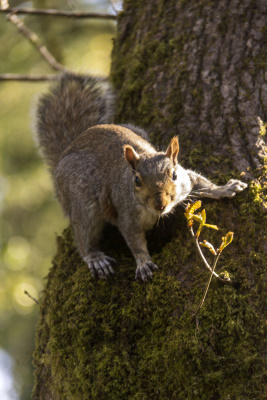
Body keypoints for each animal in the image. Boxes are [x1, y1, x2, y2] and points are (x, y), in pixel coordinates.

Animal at [35, 74, 249, 282]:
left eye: (174, 174)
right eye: (137, 181)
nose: (160, 204)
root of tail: (64, 157)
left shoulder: (186, 181)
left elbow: (202, 183)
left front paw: (225, 188)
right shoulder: (125, 214)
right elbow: (134, 241)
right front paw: (143, 263)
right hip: (81, 199)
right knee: (83, 233)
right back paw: (95, 258)